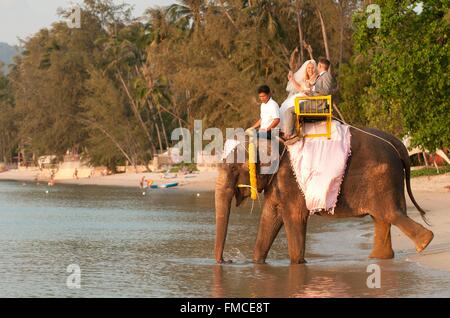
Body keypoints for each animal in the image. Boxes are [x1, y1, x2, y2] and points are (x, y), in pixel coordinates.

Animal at [216, 126, 434, 264]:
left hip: (383, 179)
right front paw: (257, 262)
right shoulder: (278, 182)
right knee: (381, 218)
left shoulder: (290, 180)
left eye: (234, 168)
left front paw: (298, 262)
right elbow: (270, 216)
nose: (228, 260)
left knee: (389, 214)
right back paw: (379, 258)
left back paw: (424, 243)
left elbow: (293, 216)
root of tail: (397, 143)